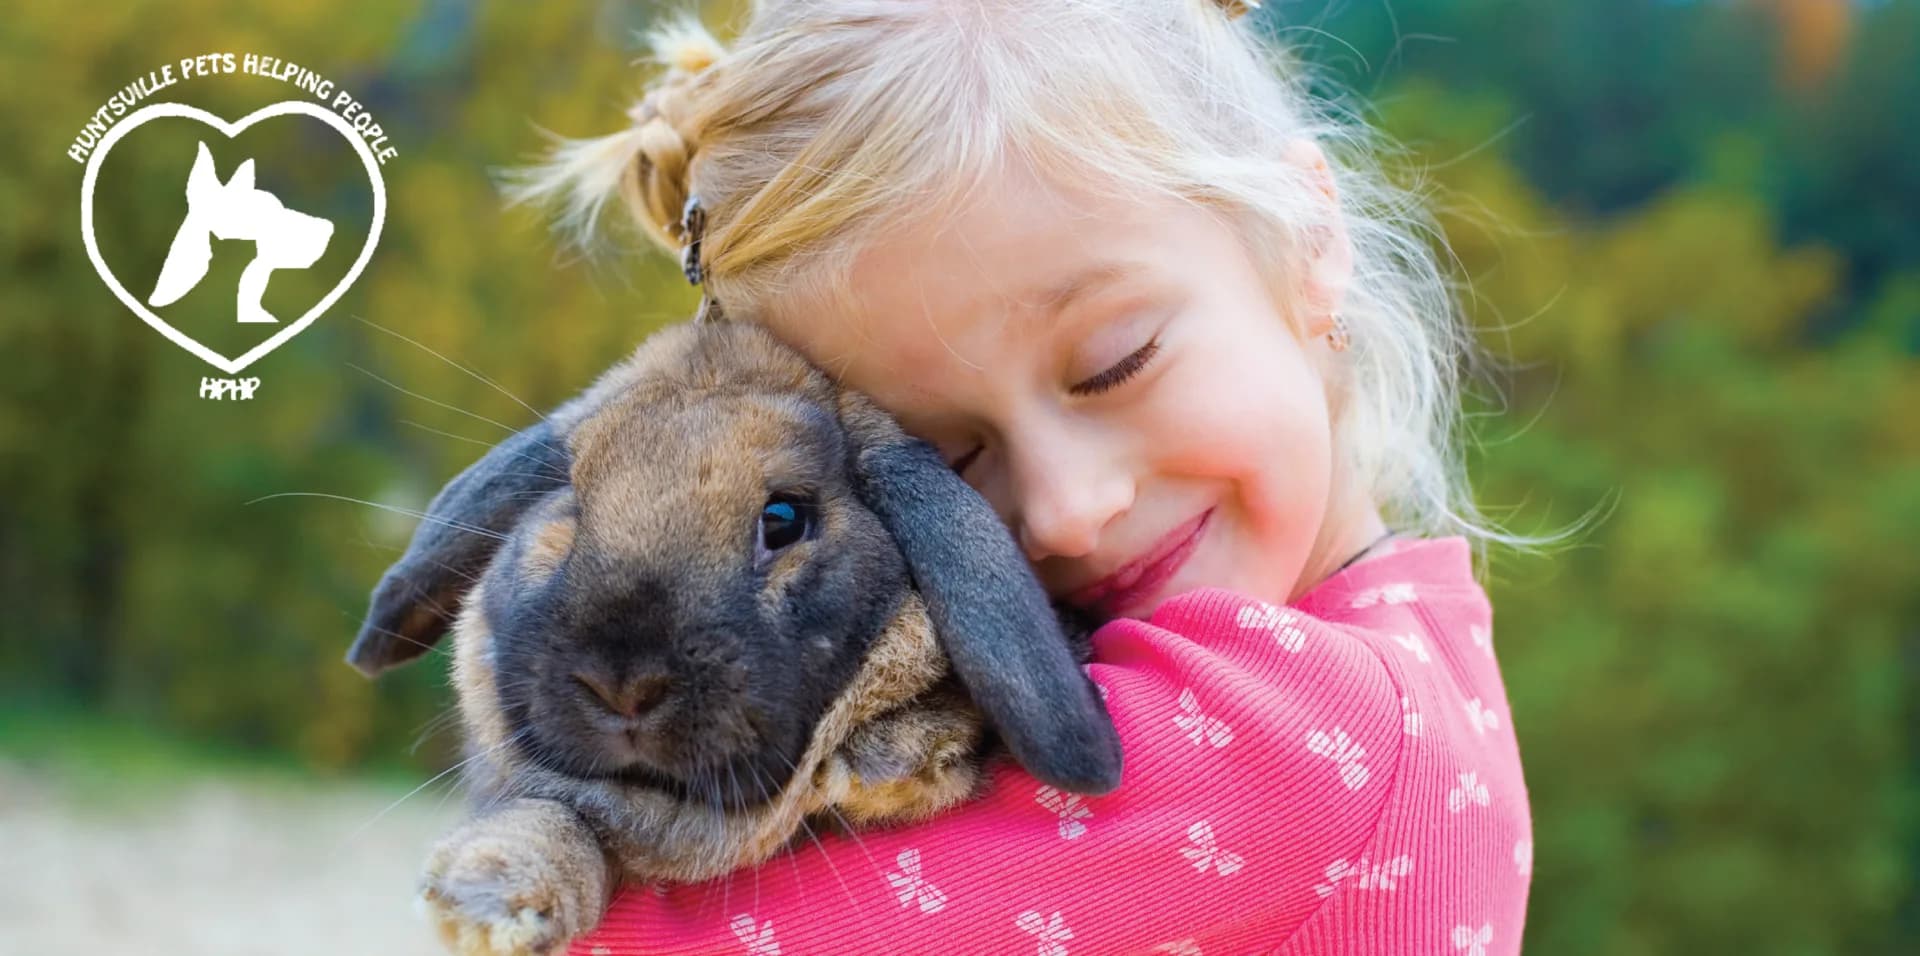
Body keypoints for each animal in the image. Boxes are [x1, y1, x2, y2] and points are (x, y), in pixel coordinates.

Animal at [346, 317, 1124, 956]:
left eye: (784, 518)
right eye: (570, 503)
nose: (622, 686)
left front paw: (897, 755)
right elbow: (556, 815)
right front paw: (492, 896)